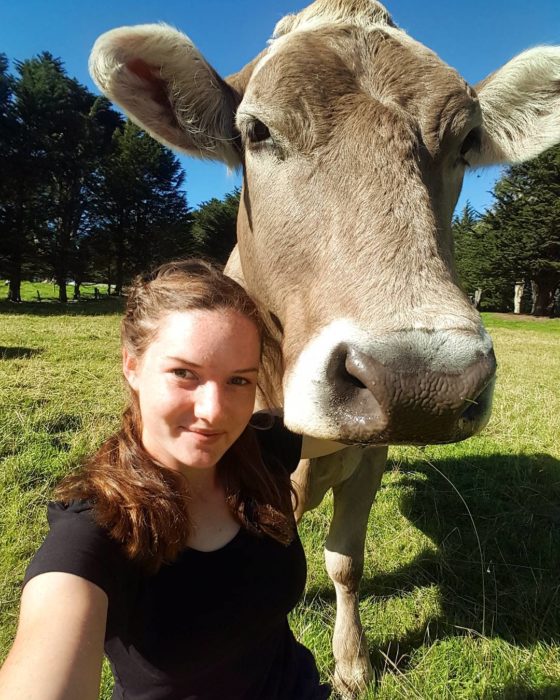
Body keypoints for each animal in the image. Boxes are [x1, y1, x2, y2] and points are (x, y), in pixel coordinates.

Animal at [89, 2, 560, 696]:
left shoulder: (371, 454)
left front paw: (352, 661)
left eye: (468, 141)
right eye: (256, 130)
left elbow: (345, 560)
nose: (422, 379)